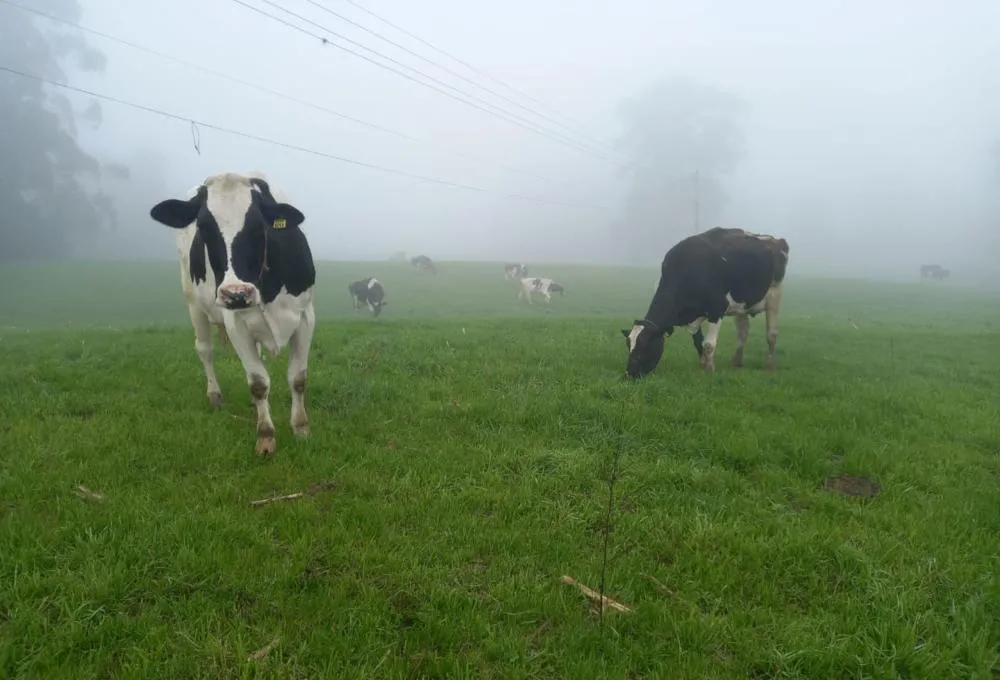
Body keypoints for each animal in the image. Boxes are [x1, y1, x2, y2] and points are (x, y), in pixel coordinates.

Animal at [149, 171, 316, 457]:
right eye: (204, 228)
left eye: (259, 226)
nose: (236, 294)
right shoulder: (235, 322)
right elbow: (258, 383)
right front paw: (266, 435)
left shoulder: (305, 316)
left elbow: (298, 378)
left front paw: (301, 428)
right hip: (194, 303)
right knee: (204, 349)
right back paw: (214, 395)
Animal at [622, 226, 789, 379]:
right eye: (628, 345)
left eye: (645, 345)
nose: (629, 374)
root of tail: (774, 239)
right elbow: (698, 342)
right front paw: (702, 366)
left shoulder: (717, 309)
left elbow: (708, 344)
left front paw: (709, 369)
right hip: (741, 304)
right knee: (743, 332)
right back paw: (736, 361)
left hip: (774, 295)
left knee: (771, 334)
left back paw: (769, 365)